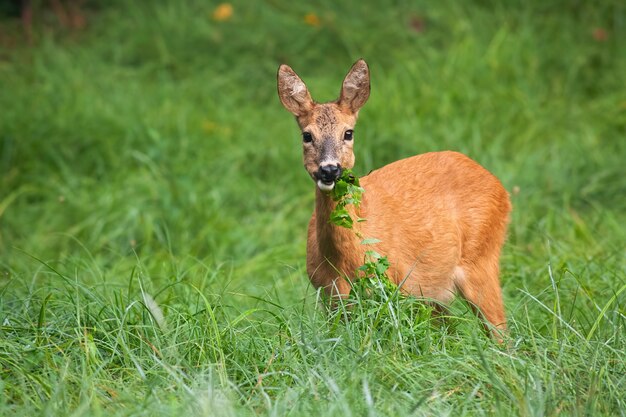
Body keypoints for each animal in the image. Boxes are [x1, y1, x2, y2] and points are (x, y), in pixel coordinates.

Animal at [276, 59, 510, 338]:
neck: (343, 262)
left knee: (501, 331)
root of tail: (500, 188)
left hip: (479, 259)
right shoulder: (330, 297)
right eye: (307, 135)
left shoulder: (395, 286)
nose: (329, 170)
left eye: (348, 133)